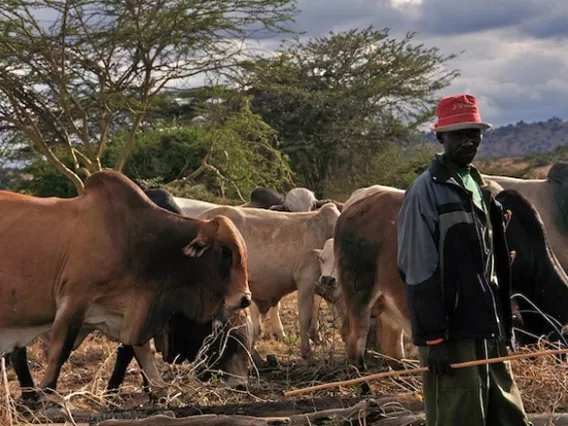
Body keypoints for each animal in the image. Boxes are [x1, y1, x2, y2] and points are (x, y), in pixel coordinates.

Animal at [0, 170, 251, 400]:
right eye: (225, 253)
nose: (246, 298)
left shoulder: (131, 311)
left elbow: (141, 351)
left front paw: (158, 390)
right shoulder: (74, 301)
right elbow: (59, 352)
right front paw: (48, 393)